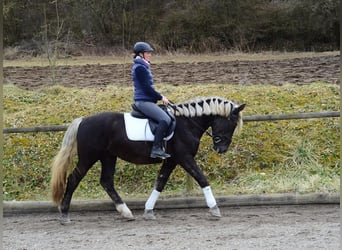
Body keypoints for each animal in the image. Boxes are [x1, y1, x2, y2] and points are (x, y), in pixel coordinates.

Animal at [50, 96, 246, 224]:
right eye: (231, 123)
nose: (221, 149)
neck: (187, 124)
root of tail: (82, 121)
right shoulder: (184, 158)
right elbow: (202, 178)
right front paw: (215, 209)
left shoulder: (172, 160)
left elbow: (160, 182)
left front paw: (148, 210)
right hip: (89, 157)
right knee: (73, 179)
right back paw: (64, 214)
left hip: (108, 157)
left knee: (106, 182)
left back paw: (126, 212)